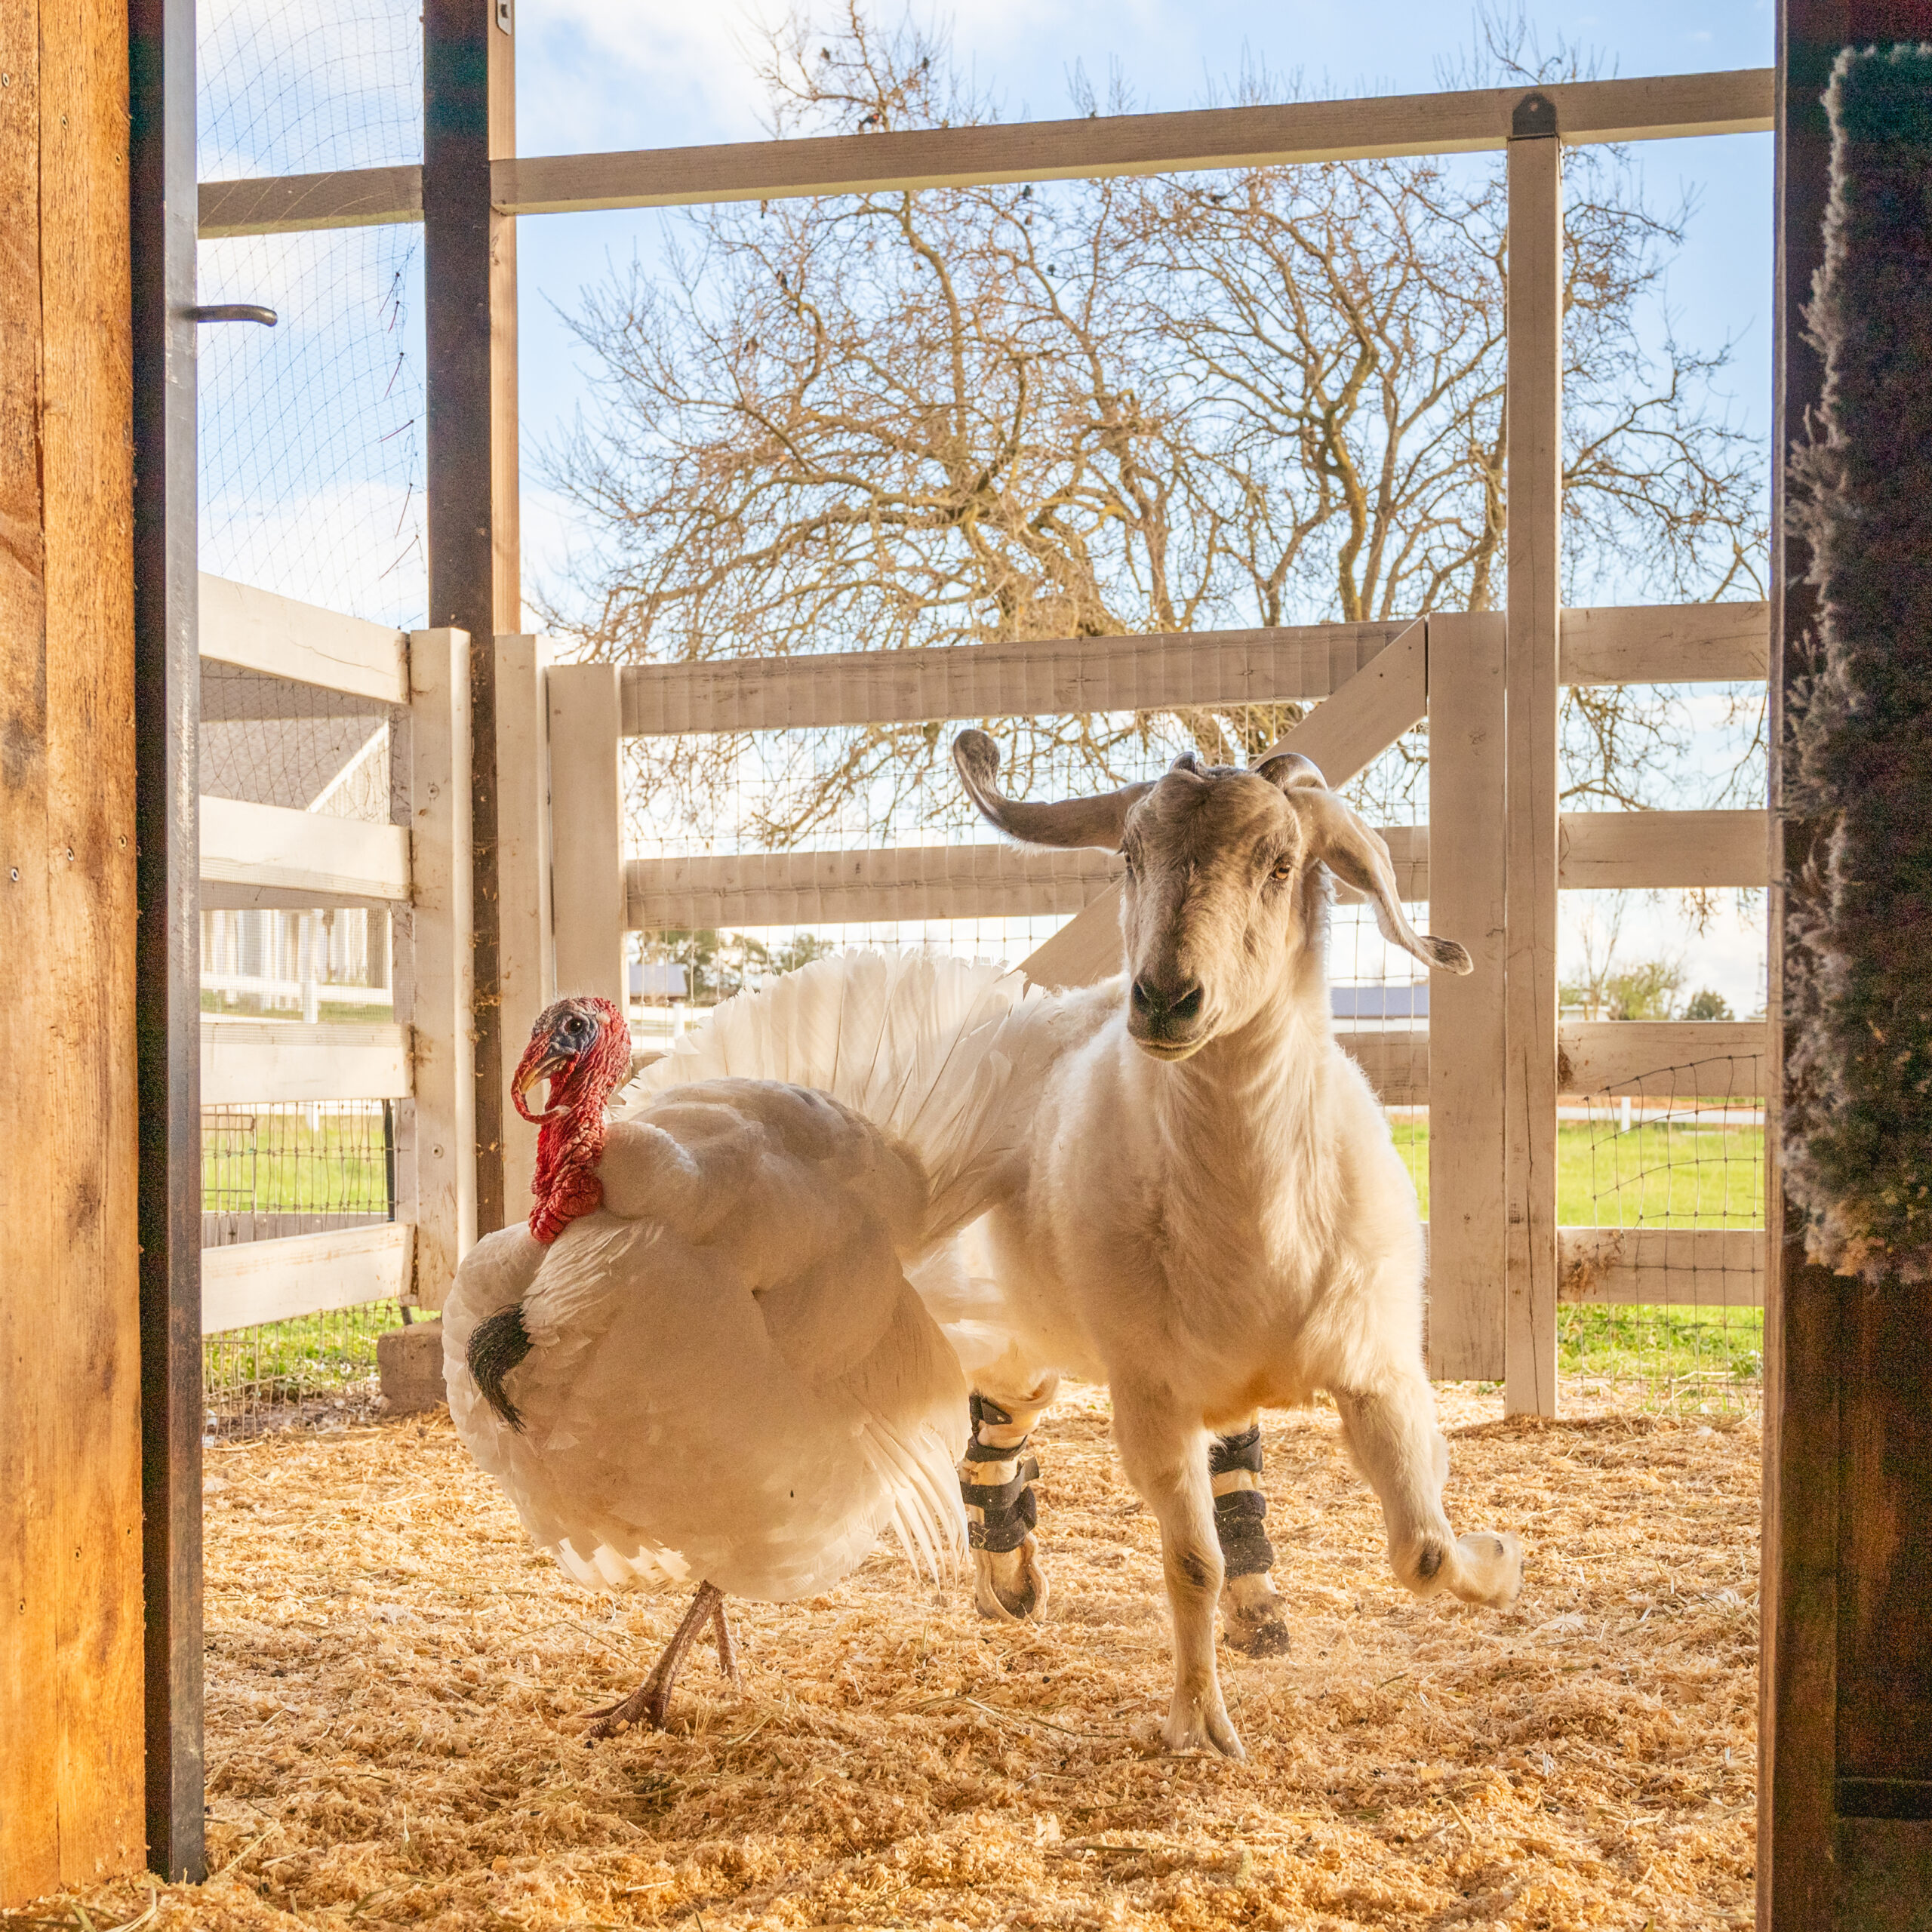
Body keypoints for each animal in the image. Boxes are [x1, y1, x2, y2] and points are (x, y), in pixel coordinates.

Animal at [947, 729, 1524, 1759]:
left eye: (1282, 862)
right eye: (1128, 854)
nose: (1166, 999)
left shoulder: (1377, 1365)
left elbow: (1421, 1547)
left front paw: (1497, 1561)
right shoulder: (1149, 1396)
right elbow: (1188, 1563)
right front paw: (1199, 1722)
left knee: (1223, 1472)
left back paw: (1248, 1608)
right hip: (1020, 1334)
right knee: (994, 1440)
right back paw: (1007, 1579)